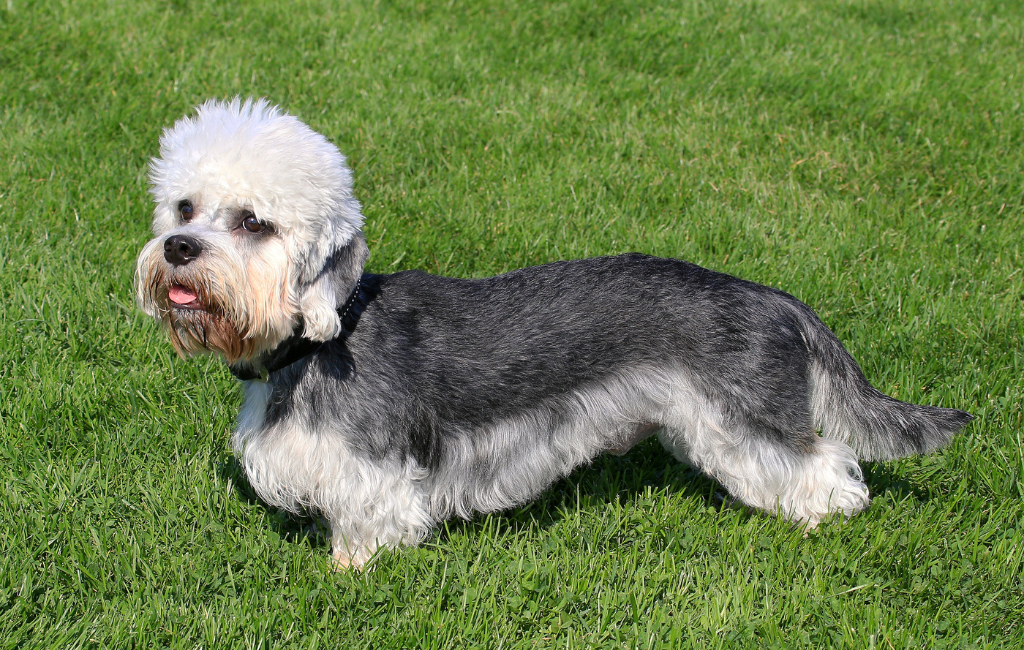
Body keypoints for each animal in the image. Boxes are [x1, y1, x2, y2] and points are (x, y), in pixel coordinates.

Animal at [136, 97, 966, 569]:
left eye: (254, 222)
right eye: (185, 208)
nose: (178, 249)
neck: (321, 341)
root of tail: (776, 298)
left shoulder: (374, 475)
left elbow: (368, 528)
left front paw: (346, 572)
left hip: (746, 422)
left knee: (826, 465)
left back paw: (823, 517)